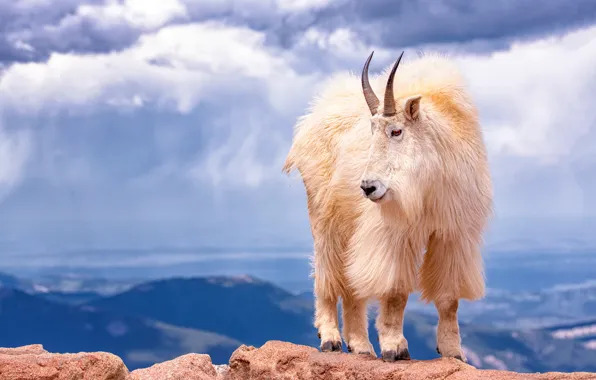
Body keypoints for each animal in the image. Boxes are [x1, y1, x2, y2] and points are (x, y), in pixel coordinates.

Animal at [284, 51, 494, 362]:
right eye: (371, 132)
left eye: (396, 131)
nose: (367, 187)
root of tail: (310, 121)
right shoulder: (394, 234)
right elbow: (395, 291)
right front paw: (396, 348)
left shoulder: (452, 235)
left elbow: (449, 298)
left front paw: (453, 352)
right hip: (325, 218)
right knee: (327, 275)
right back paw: (331, 339)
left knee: (351, 283)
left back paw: (360, 346)